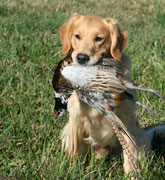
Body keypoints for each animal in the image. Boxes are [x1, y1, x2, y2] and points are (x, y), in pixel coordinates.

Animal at [58, 13, 164, 176]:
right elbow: (74, 152)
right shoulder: (75, 120)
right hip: (67, 132)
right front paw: (71, 171)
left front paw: (132, 175)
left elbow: (130, 154)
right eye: (77, 36)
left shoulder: (126, 120)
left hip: (140, 137)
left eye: (98, 38)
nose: (81, 57)